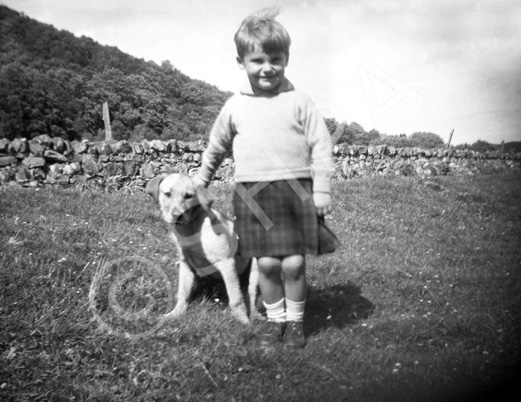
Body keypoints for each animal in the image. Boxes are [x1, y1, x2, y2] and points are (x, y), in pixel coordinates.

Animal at [145, 173, 258, 324]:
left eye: (189, 196)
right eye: (167, 194)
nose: (177, 216)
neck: (191, 229)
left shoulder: (226, 262)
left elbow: (236, 298)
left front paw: (243, 321)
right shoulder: (185, 263)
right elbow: (183, 292)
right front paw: (176, 313)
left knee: (251, 295)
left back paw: (256, 316)